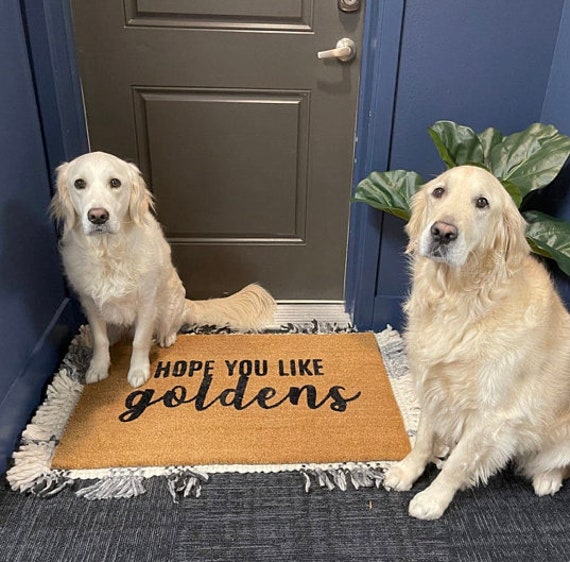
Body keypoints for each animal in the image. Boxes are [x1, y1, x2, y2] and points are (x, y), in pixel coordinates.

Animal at [51, 151, 276, 388]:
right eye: (79, 183)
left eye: (115, 182)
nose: (97, 216)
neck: (108, 253)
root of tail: (186, 303)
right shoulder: (89, 303)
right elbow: (100, 339)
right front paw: (98, 367)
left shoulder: (147, 301)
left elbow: (140, 340)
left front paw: (138, 371)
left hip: (168, 306)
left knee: (170, 325)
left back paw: (166, 337)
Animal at [382, 165, 568, 516]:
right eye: (439, 192)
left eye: (482, 202)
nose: (442, 232)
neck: (459, 301)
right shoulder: (433, 382)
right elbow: (424, 437)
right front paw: (408, 470)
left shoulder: (491, 413)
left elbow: (460, 462)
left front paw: (433, 499)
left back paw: (546, 478)